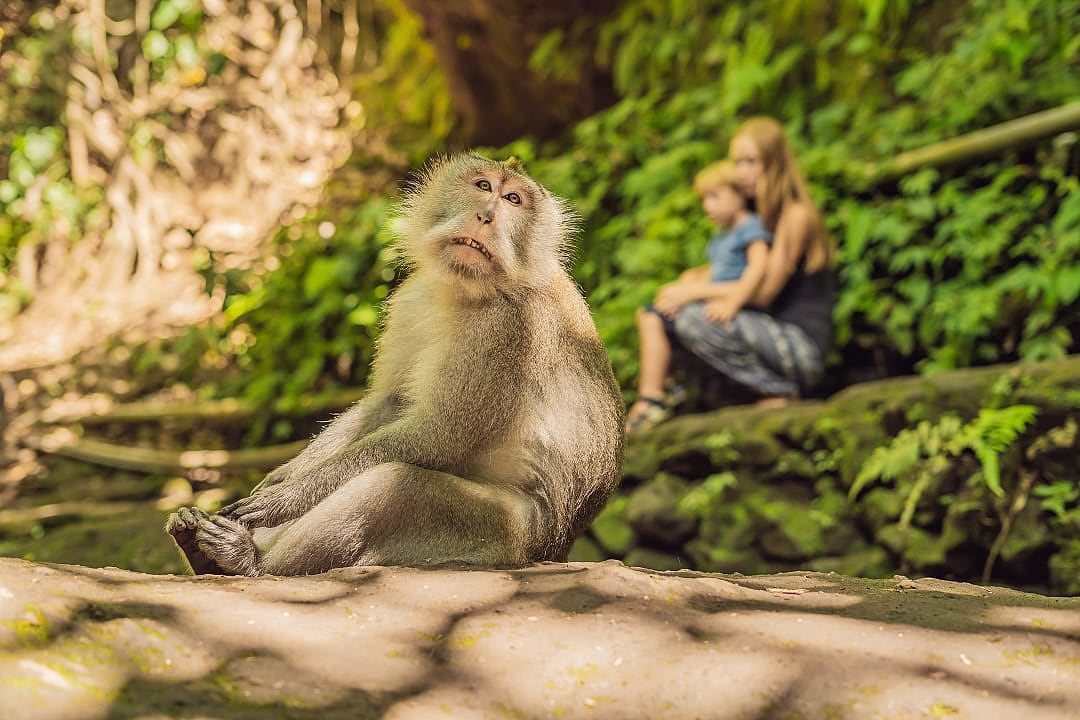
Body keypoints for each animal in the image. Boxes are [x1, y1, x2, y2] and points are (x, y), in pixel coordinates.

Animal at [166, 153, 624, 576]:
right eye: (483, 186)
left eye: (514, 200)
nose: (487, 215)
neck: (466, 291)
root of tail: (555, 550)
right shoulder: (412, 299)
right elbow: (392, 403)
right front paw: (280, 477)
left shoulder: (509, 330)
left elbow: (436, 437)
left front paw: (283, 499)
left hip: (495, 538)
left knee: (395, 488)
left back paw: (249, 563)